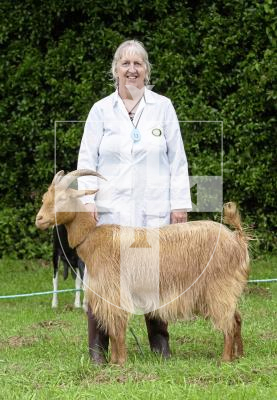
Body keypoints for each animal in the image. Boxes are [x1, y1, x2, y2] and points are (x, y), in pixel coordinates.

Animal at [35, 169, 249, 366]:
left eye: (63, 198)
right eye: (45, 198)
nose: (39, 219)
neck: (93, 238)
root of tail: (237, 239)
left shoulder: (114, 291)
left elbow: (117, 329)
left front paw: (120, 362)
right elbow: (113, 328)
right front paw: (114, 361)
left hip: (218, 286)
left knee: (228, 322)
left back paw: (225, 359)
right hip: (223, 289)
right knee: (237, 317)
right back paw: (239, 355)